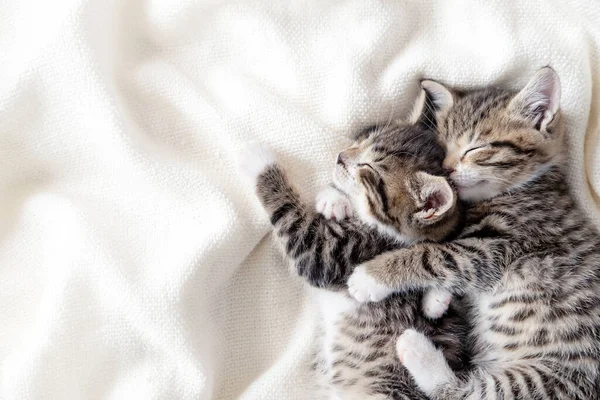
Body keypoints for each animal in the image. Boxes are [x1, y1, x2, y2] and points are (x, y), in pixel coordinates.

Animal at [238, 110, 468, 400]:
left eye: (368, 168)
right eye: (363, 139)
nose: (340, 155)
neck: (381, 231)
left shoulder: (331, 253)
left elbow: (294, 222)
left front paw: (258, 159)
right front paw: (334, 200)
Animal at [346, 67, 600, 398]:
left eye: (476, 148)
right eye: (442, 146)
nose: (447, 169)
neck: (529, 186)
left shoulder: (502, 246)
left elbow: (434, 255)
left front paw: (369, 278)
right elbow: (450, 259)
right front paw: (436, 300)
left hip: (551, 382)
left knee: (461, 392)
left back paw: (415, 349)